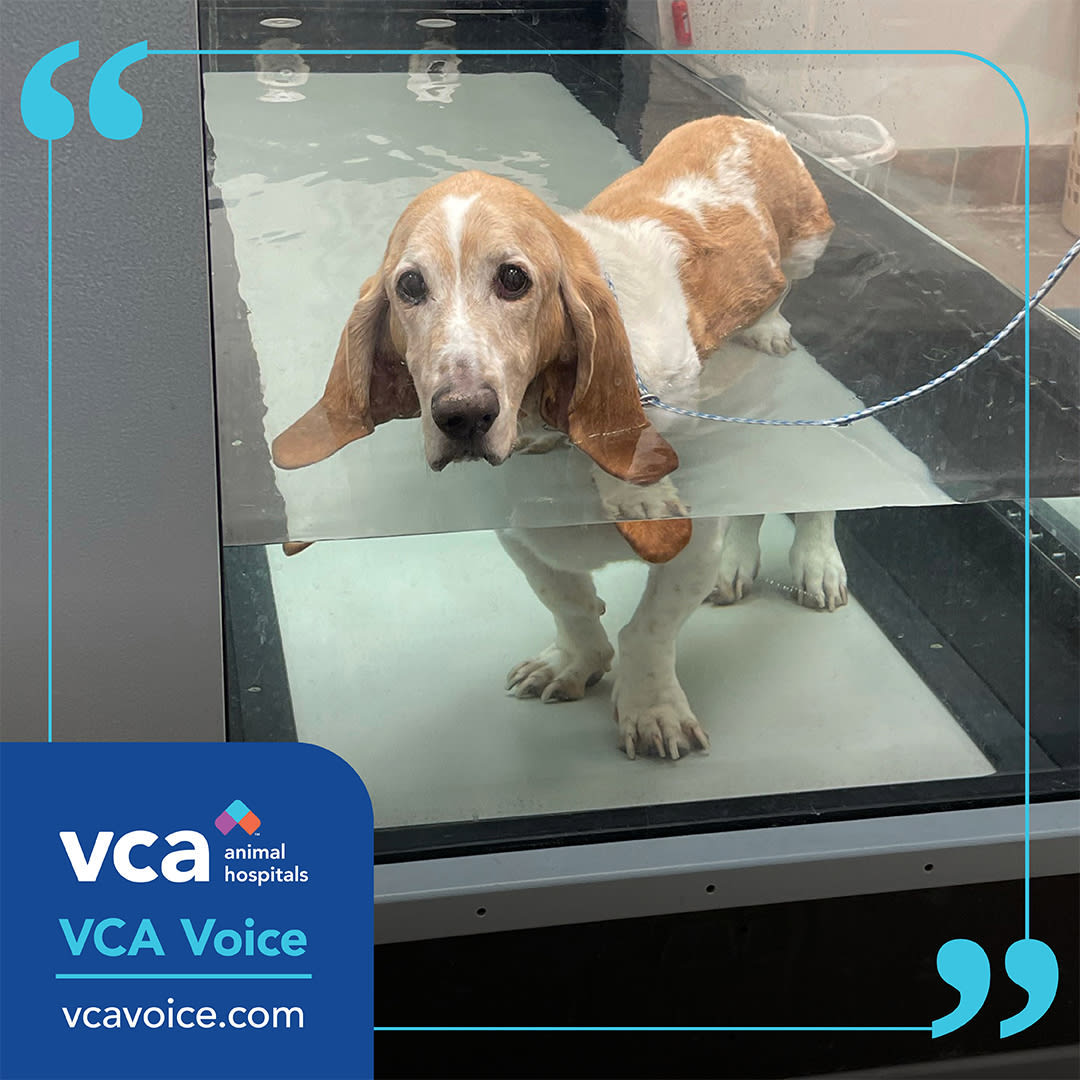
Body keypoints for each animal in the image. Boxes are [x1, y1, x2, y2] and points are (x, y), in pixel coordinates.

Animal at [272, 115, 848, 760]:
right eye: (411, 286)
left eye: (513, 279)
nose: (462, 415)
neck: (551, 438)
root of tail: (743, 122)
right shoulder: (520, 538)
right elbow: (568, 603)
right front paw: (574, 663)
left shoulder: (693, 539)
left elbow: (650, 627)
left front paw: (652, 711)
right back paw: (737, 567)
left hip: (802, 265)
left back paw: (815, 557)